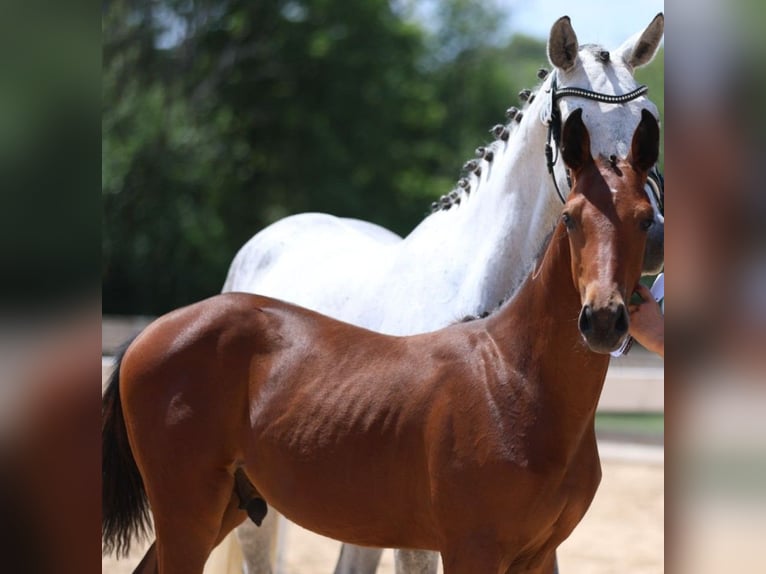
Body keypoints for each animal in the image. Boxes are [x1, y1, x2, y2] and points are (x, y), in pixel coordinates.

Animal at [101, 97, 661, 574]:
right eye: (569, 219)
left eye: (644, 220)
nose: (603, 319)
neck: (513, 378)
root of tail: (149, 334)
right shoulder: (470, 548)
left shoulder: (537, 556)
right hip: (189, 513)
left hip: (226, 508)